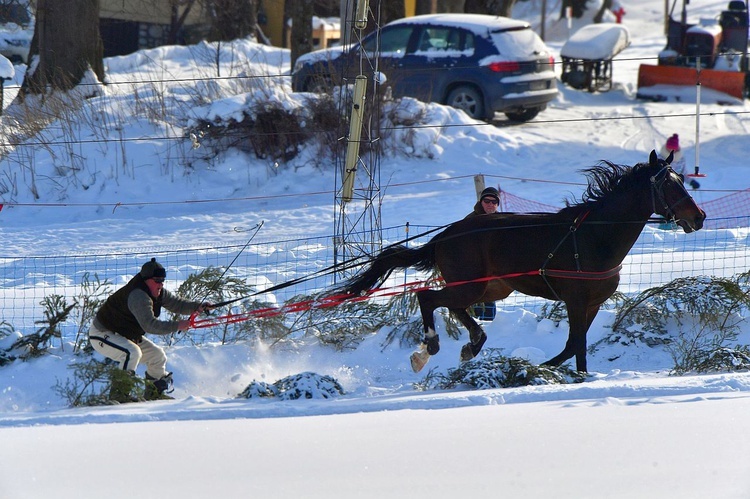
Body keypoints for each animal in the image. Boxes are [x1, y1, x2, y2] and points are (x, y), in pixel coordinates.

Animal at [344, 150, 708, 374]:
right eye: (667, 184)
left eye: (681, 180)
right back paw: (429, 348)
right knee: (428, 298)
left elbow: (575, 345)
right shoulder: (576, 299)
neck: (593, 235)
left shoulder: (591, 303)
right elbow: (576, 344)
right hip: (469, 286)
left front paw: (557, 371)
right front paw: (556, 371)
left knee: (454, 308)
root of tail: (445, 235)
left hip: (490, 289)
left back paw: (472, 345)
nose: (699, 216)